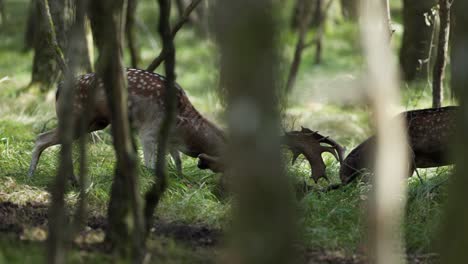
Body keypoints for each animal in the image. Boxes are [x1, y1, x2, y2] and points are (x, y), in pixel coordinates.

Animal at [27, 68, 227, 177]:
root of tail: (58, 88)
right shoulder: (149, 130)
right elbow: (150, 163)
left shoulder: (170, 140)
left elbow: (177, 161)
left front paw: (180, 178)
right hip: (77, 117)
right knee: (41, 137)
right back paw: (31, 175)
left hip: (96, 122)